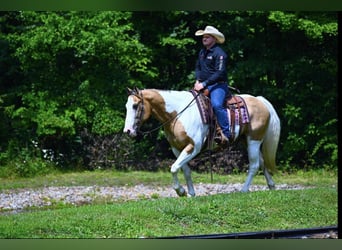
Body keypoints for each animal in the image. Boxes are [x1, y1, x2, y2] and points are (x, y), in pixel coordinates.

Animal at [123, 88, 280, 197]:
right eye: (126, 106)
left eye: (135, 106)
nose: (128, 131)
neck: (178, 114)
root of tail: (260, 101)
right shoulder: (177, 149)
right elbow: (185, 170)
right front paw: (190, 193)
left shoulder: (193, 147)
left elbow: (174, 168)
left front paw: (180, 191)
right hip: (246, 140)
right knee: (262, 162)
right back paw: (271, 186)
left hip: (254, 140)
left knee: (254, 165)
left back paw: (244, 190)